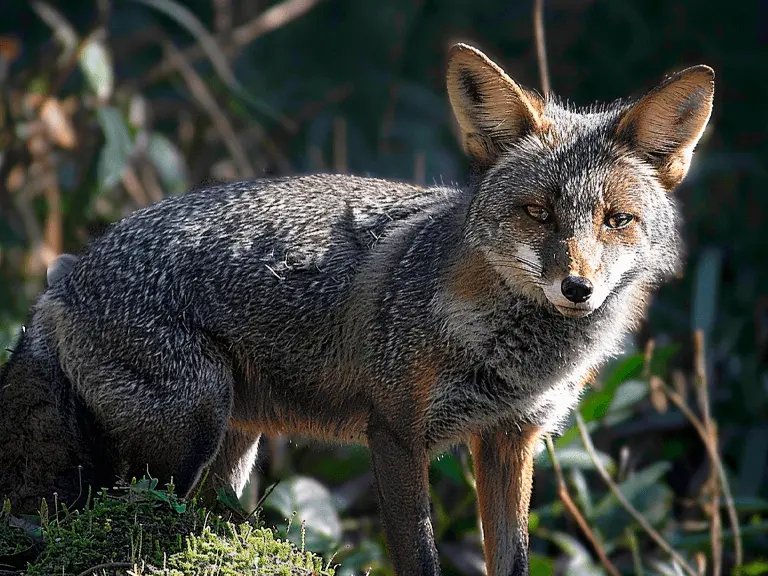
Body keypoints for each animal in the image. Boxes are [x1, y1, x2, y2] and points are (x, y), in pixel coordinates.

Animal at [0, 44, 714, 575]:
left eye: (616, 220)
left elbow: (511, 559)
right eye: (537, 212)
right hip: (188, 426)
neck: (509, 355)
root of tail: (61, 277)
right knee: (121, 512)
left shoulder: (511, 440)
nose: (577, 288)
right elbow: (421, 560)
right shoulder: (396, 434)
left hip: (233, 442)